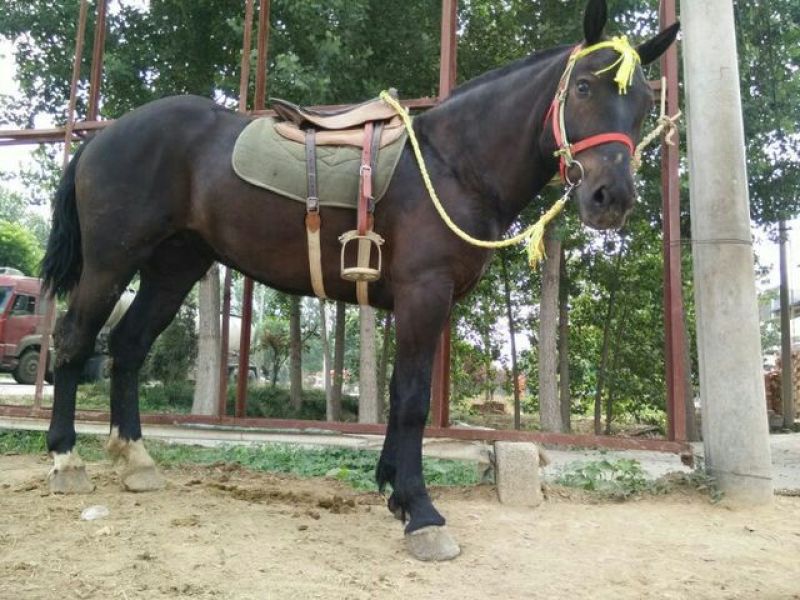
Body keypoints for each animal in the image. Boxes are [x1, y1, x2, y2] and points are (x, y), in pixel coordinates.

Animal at [41, 0, 678, 561]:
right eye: (584, 87)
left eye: (646, 102)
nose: (611, 198)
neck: (454, 163)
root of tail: (102, 136)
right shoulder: (424, 293)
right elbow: (414, 400)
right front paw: (421, 513)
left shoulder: (425, 303)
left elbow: (398, 394)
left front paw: (394, 490)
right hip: (110, 262)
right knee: (74, 341)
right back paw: (66, 460)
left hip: (174, 266)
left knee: (128, 346)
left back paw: (136, 461)